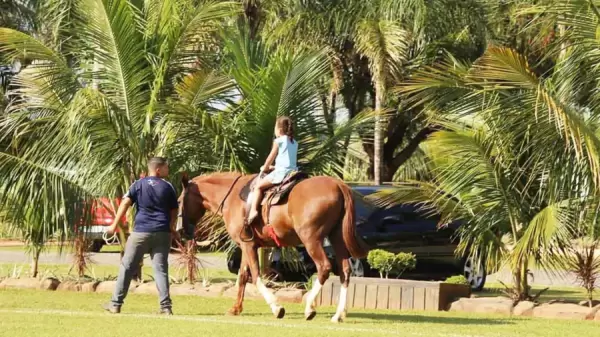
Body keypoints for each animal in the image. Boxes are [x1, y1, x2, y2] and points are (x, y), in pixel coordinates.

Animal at [178, 172, 366, 322]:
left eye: (179, 200)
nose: (180, 230)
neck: (231, 197)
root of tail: (338, 184)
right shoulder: (246, 245)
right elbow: (242, 276)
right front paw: (236, 308)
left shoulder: (248, 246)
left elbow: (255, 276)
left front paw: (277, 308)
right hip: (337, 237)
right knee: (345, 271)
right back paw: (338, 314)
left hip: (311, 239)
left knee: (324, 267)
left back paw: (309, 308)